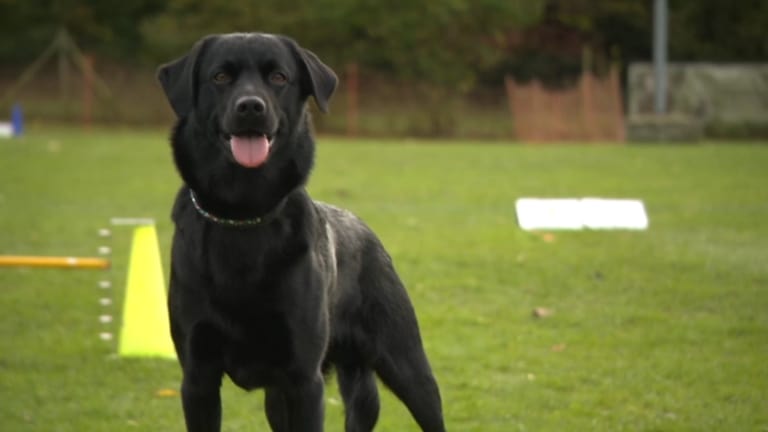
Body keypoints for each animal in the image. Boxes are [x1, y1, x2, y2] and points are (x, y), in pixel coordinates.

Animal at [156, 33, 444, 432]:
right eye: (220, 77)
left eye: (279, 77)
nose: (251, 107)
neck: (243, 216)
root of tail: (362, 226)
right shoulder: (199, 378)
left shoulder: (304, 379)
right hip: (278, 398)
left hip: (406, 363)